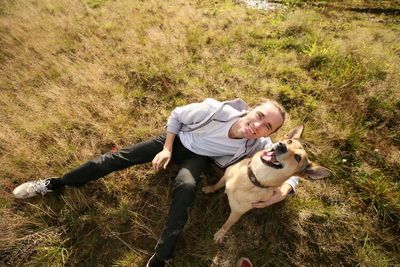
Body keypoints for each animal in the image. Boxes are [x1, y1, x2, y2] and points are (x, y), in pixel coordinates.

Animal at [202, 124, 332, 244]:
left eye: (297, 158)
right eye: (289, 141)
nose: (281, 146)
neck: (253, 177)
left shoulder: (237, 212)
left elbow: (227, 224)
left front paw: (220, 234)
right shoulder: (225, 176)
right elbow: (217, 185)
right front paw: (209, 188)